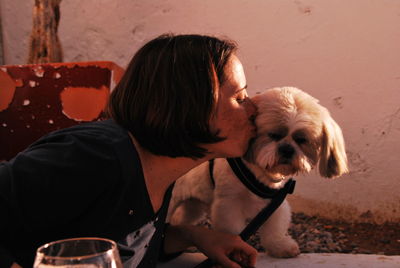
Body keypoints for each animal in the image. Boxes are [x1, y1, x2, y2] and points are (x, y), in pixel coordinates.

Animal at [167, 87, 348, 258]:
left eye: (301, 140)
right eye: (273, 135)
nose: (287, 149)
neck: (260, 173)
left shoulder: (275, 205)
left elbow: (274, 230)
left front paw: (280, 246)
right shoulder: (228, 204)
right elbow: (232, 230)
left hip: (193, 206)